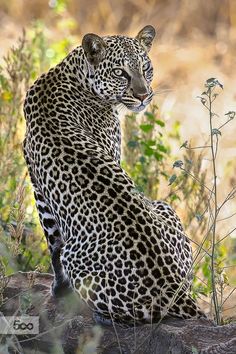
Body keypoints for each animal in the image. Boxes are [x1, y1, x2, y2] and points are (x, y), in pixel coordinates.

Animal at [23, 24, 204, 324]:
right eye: (120, 72)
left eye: (145, 68)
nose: (143, 96)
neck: (72, 71)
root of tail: (171, 290)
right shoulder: (40, 185)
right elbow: (53, 240)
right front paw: (59, 291)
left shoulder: (38, 186)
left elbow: (53, 241)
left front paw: (58, 291)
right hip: (162, 207)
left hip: (160, 208)